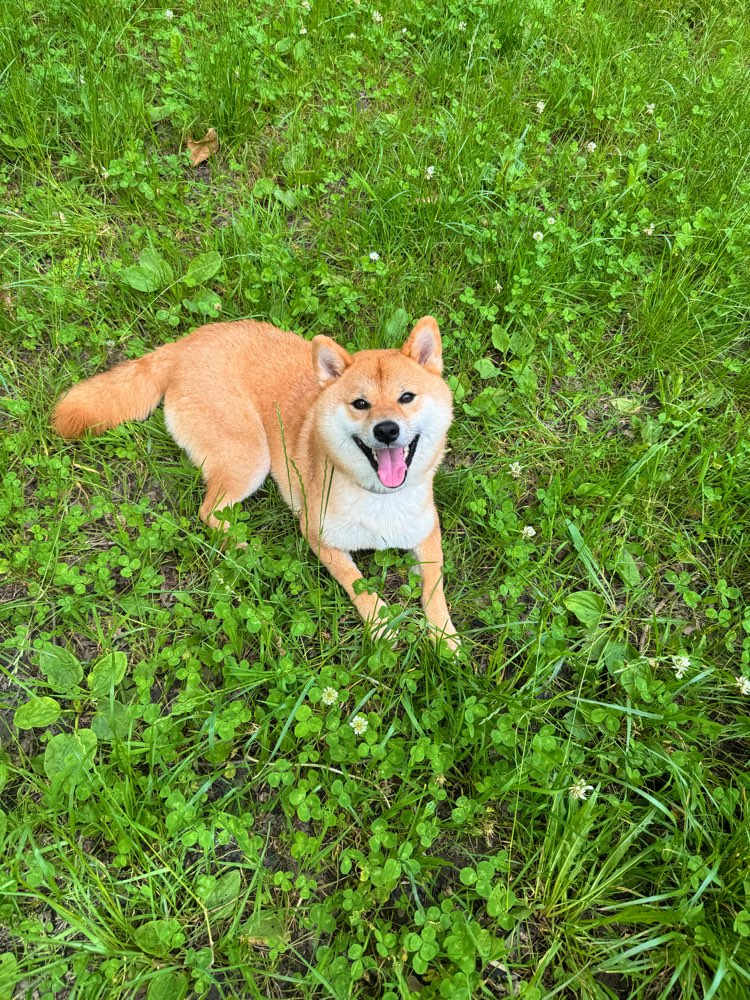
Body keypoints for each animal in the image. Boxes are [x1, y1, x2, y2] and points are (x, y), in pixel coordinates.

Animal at [51, 318, 458, 648]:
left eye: (406, 397)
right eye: (360, 403)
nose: (386, 430)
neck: (379, 496)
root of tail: (187, 343)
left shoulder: (428, 531)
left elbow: (434, 586)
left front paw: (444, 637)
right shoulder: (317, 535)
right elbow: (357, 583)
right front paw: (381, 622)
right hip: (252, 457)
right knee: (209, 512)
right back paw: (246, 549)